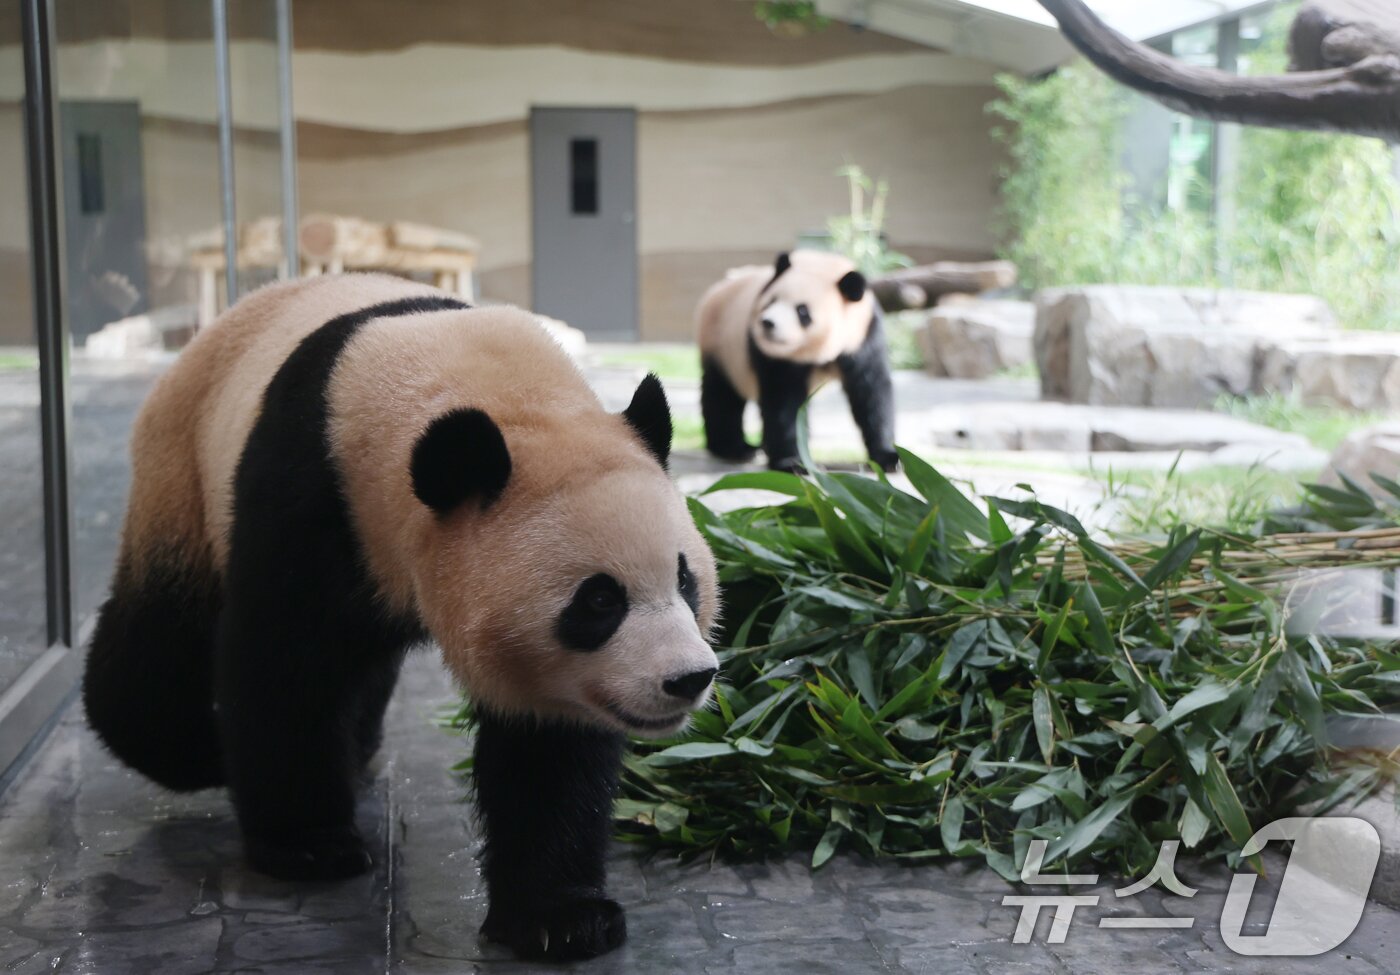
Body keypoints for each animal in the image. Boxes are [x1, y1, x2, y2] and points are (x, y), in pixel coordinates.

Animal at [81, 273, 720, 962]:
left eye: (685, 580)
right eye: (600, 601)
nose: (689, 678)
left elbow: (549, 747)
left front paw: (560, 917)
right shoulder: (313, 493)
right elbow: (283, 667)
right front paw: (309, 845)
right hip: (183, 475)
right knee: (157, 646)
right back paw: (197, 751)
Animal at [697, 249, 897, 473]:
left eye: (802, 310)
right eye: (770, 301)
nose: (768, 323)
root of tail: (715, 292)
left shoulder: (863, 337)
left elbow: (871, 393)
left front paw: (887, 457)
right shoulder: (775, 356)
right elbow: (783, 401)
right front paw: (791, 462)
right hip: (722, 346)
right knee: (722, 396)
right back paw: (736, 448)